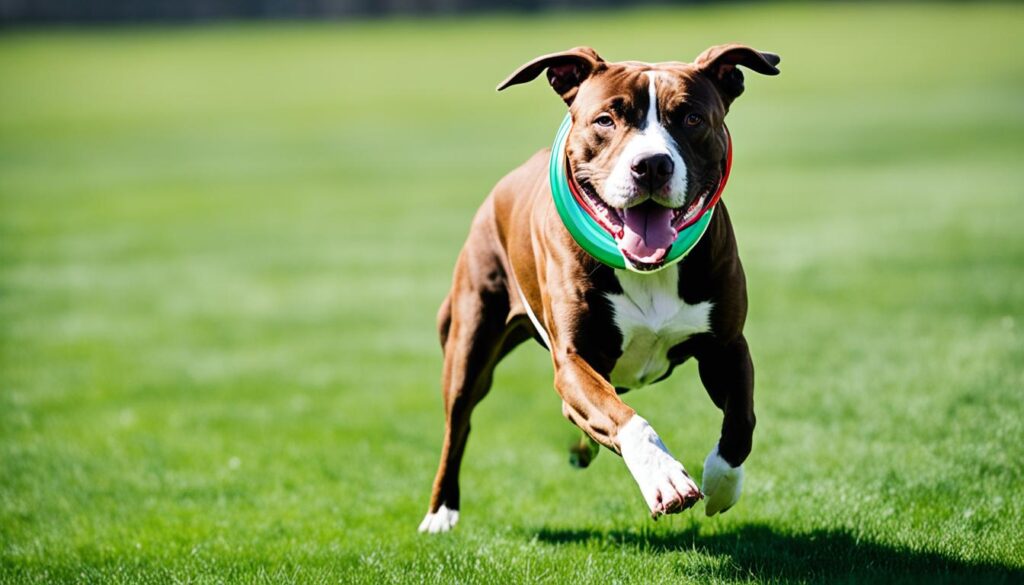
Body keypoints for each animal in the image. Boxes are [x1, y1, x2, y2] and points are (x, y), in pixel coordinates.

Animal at [419, 43, 778, 532]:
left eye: (691, 118)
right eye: (606, 120)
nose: (651, 165)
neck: (648, 269)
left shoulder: (726, 346)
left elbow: (742, 419)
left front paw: (722, 485)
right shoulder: (575, 361)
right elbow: (627, 420)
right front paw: (664, 477)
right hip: (470, 342)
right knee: (458, 424)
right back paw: (440, 512)